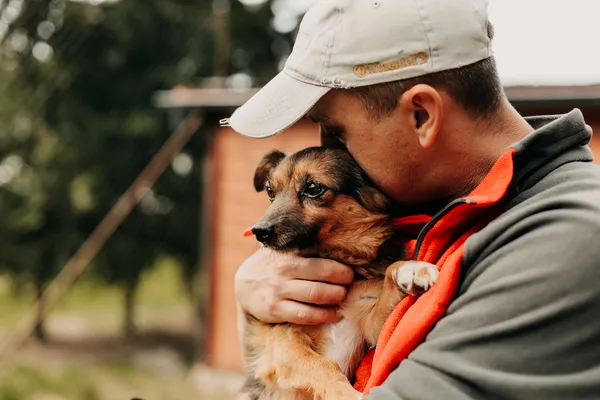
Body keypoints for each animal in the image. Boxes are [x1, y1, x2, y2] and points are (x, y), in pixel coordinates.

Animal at [237, 147, 438, 400]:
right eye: (270, 191)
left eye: (313, 188)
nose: (259, 231)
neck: (336, 256)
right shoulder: (283, 340)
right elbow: (322, 365)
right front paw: (346, 393)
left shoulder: (369, 327)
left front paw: (408, 268)